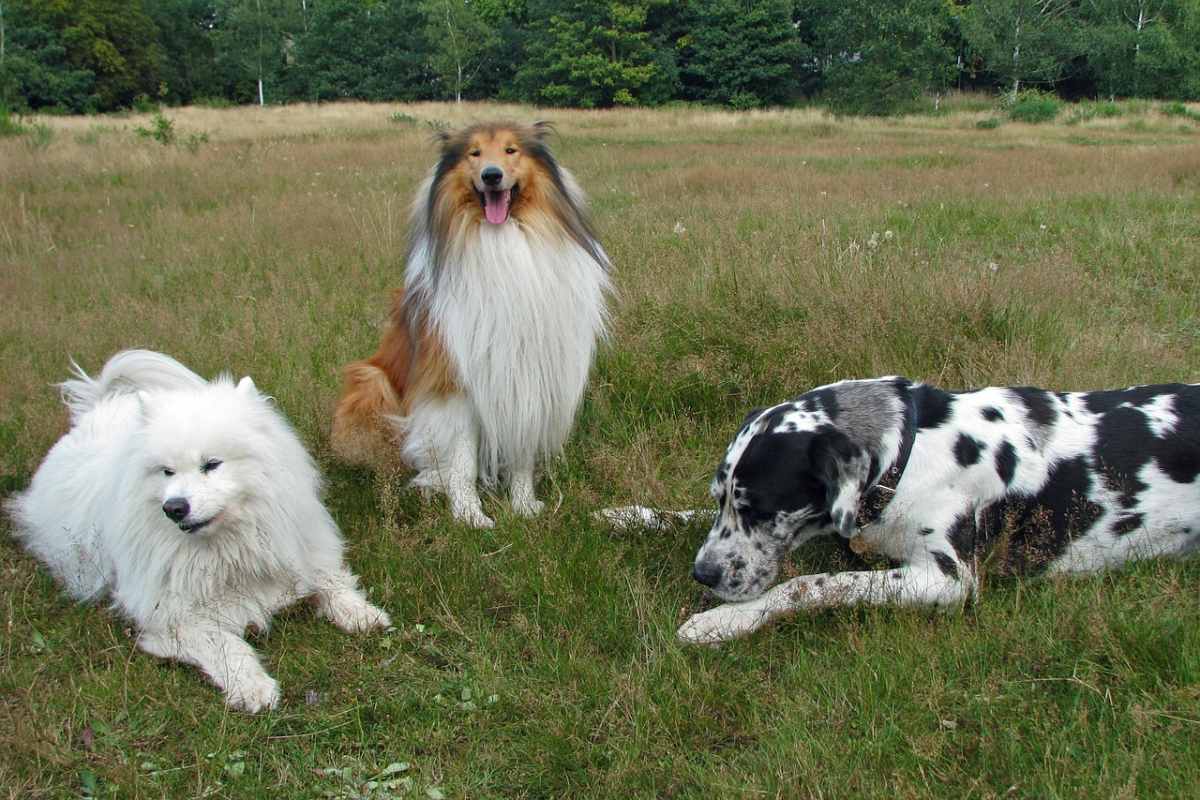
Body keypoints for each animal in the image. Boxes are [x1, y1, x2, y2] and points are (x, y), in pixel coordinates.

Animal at [7, 350, 391, 714]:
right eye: (166, 471)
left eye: (212, 464)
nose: (174, 507)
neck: (230, 547)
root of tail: (99, 408)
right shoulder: (177, 619)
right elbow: (227, 646)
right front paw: (253, 687)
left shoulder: (302, 551)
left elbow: (331, 583)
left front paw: (362, 614)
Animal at [604, 379, 1200, 647]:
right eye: (721, 498)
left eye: (760, 508)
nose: (701, 574)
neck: (911, 453)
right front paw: (632, 515)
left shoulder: (946, 579)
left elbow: (811, 584)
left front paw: (723, 621)